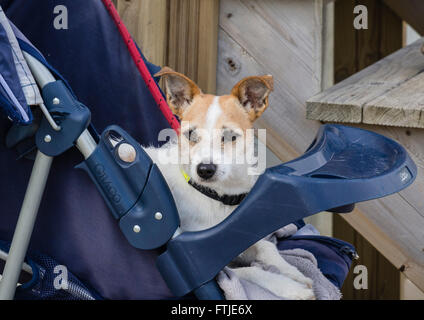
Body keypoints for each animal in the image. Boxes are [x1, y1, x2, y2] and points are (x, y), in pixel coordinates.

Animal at [126, 67, 314, 300]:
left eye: (230, 136)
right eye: (191, 134)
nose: (205, 169)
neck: (218, 197)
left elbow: (266, 248)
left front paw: (292, 272)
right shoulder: (210, 267)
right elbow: (251, 272)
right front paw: (289, 287)